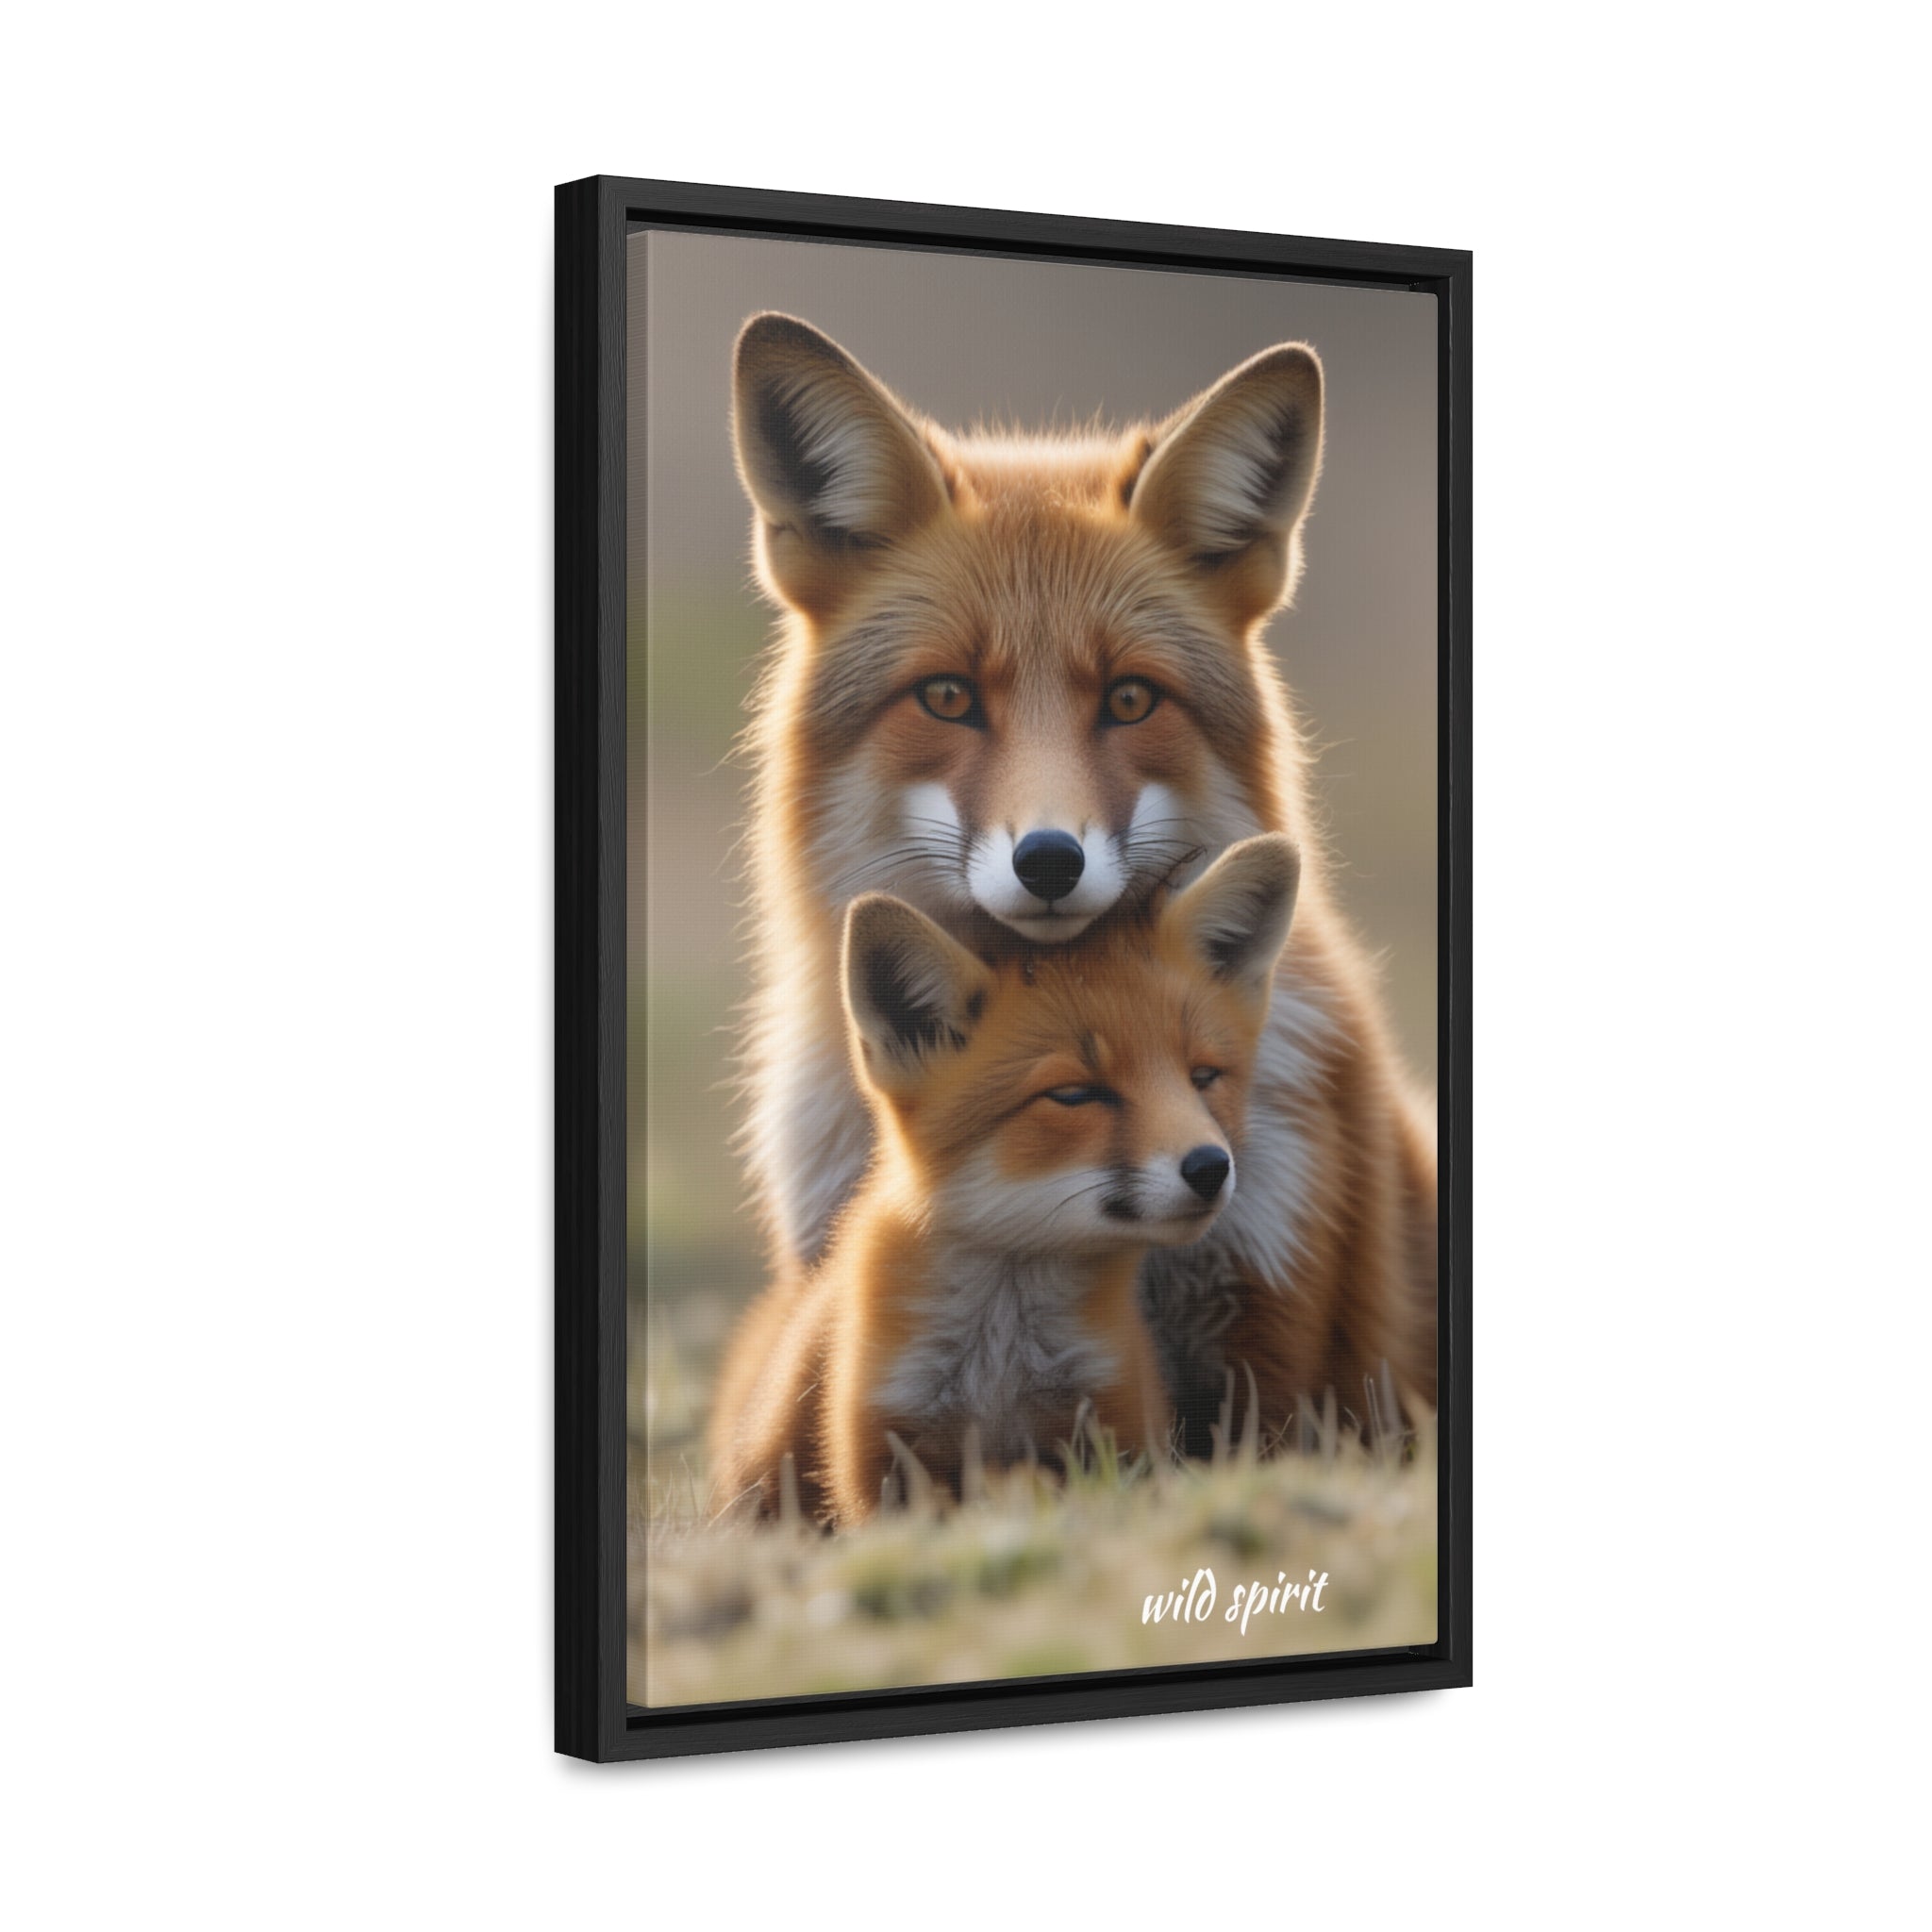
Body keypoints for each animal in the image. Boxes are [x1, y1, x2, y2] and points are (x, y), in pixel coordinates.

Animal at [708, 835, 1302, 1526]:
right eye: (1074, 1094)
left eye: (1203, 1077)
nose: (1210, 1166)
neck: (1000, 1364)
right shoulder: (881, 1455)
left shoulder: (1115, 1425)